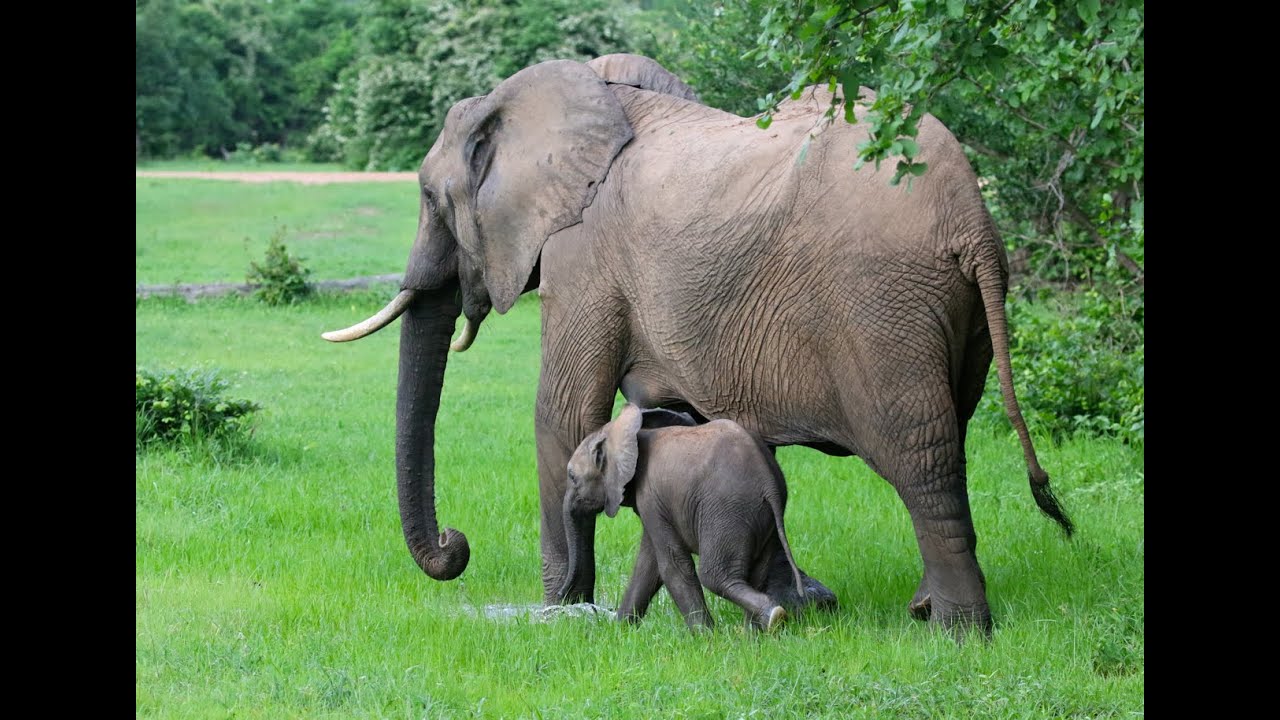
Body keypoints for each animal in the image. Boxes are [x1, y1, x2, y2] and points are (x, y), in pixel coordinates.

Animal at [558, 403, 804, 631]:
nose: (562, 596)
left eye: (572, 476)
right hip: (761, 518)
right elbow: (648, 565)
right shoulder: (655, 503)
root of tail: (769, 484)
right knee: (757, 573)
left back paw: (773, 618)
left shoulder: (650, 496)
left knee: (714, 576)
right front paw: (620, 631)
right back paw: (755, 635)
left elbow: (671, 564)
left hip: (727, 511)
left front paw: (705, 637)